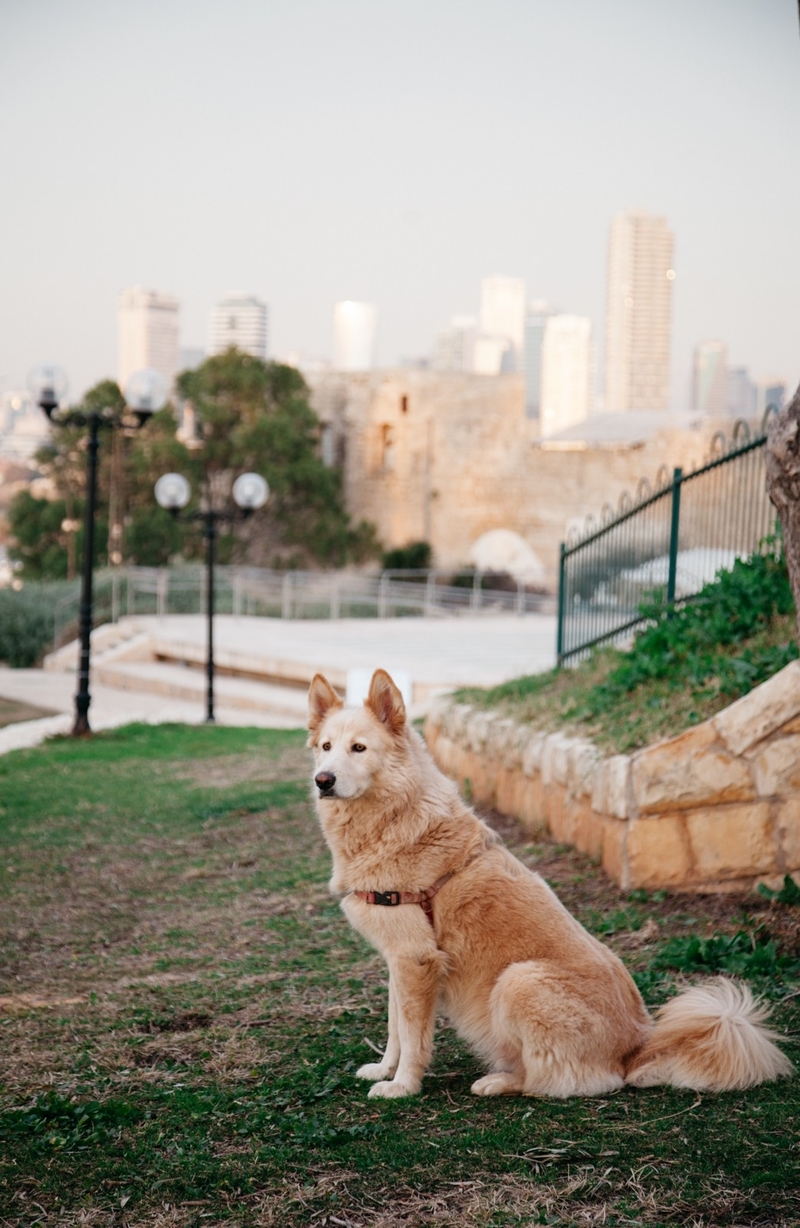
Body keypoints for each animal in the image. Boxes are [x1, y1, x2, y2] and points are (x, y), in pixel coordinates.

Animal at [307, 672, 796, 1105]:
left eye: (359, 748)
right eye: (326, 748)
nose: (323, 780)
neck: (394, 816)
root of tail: (634, 1050)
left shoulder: (416, 960)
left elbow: (413, 1036)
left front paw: (403, 1086)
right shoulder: (398, 959)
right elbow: (396, 1028)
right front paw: (384, 1069)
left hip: (518, 979)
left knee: (554, 1080)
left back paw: (500, 1082)